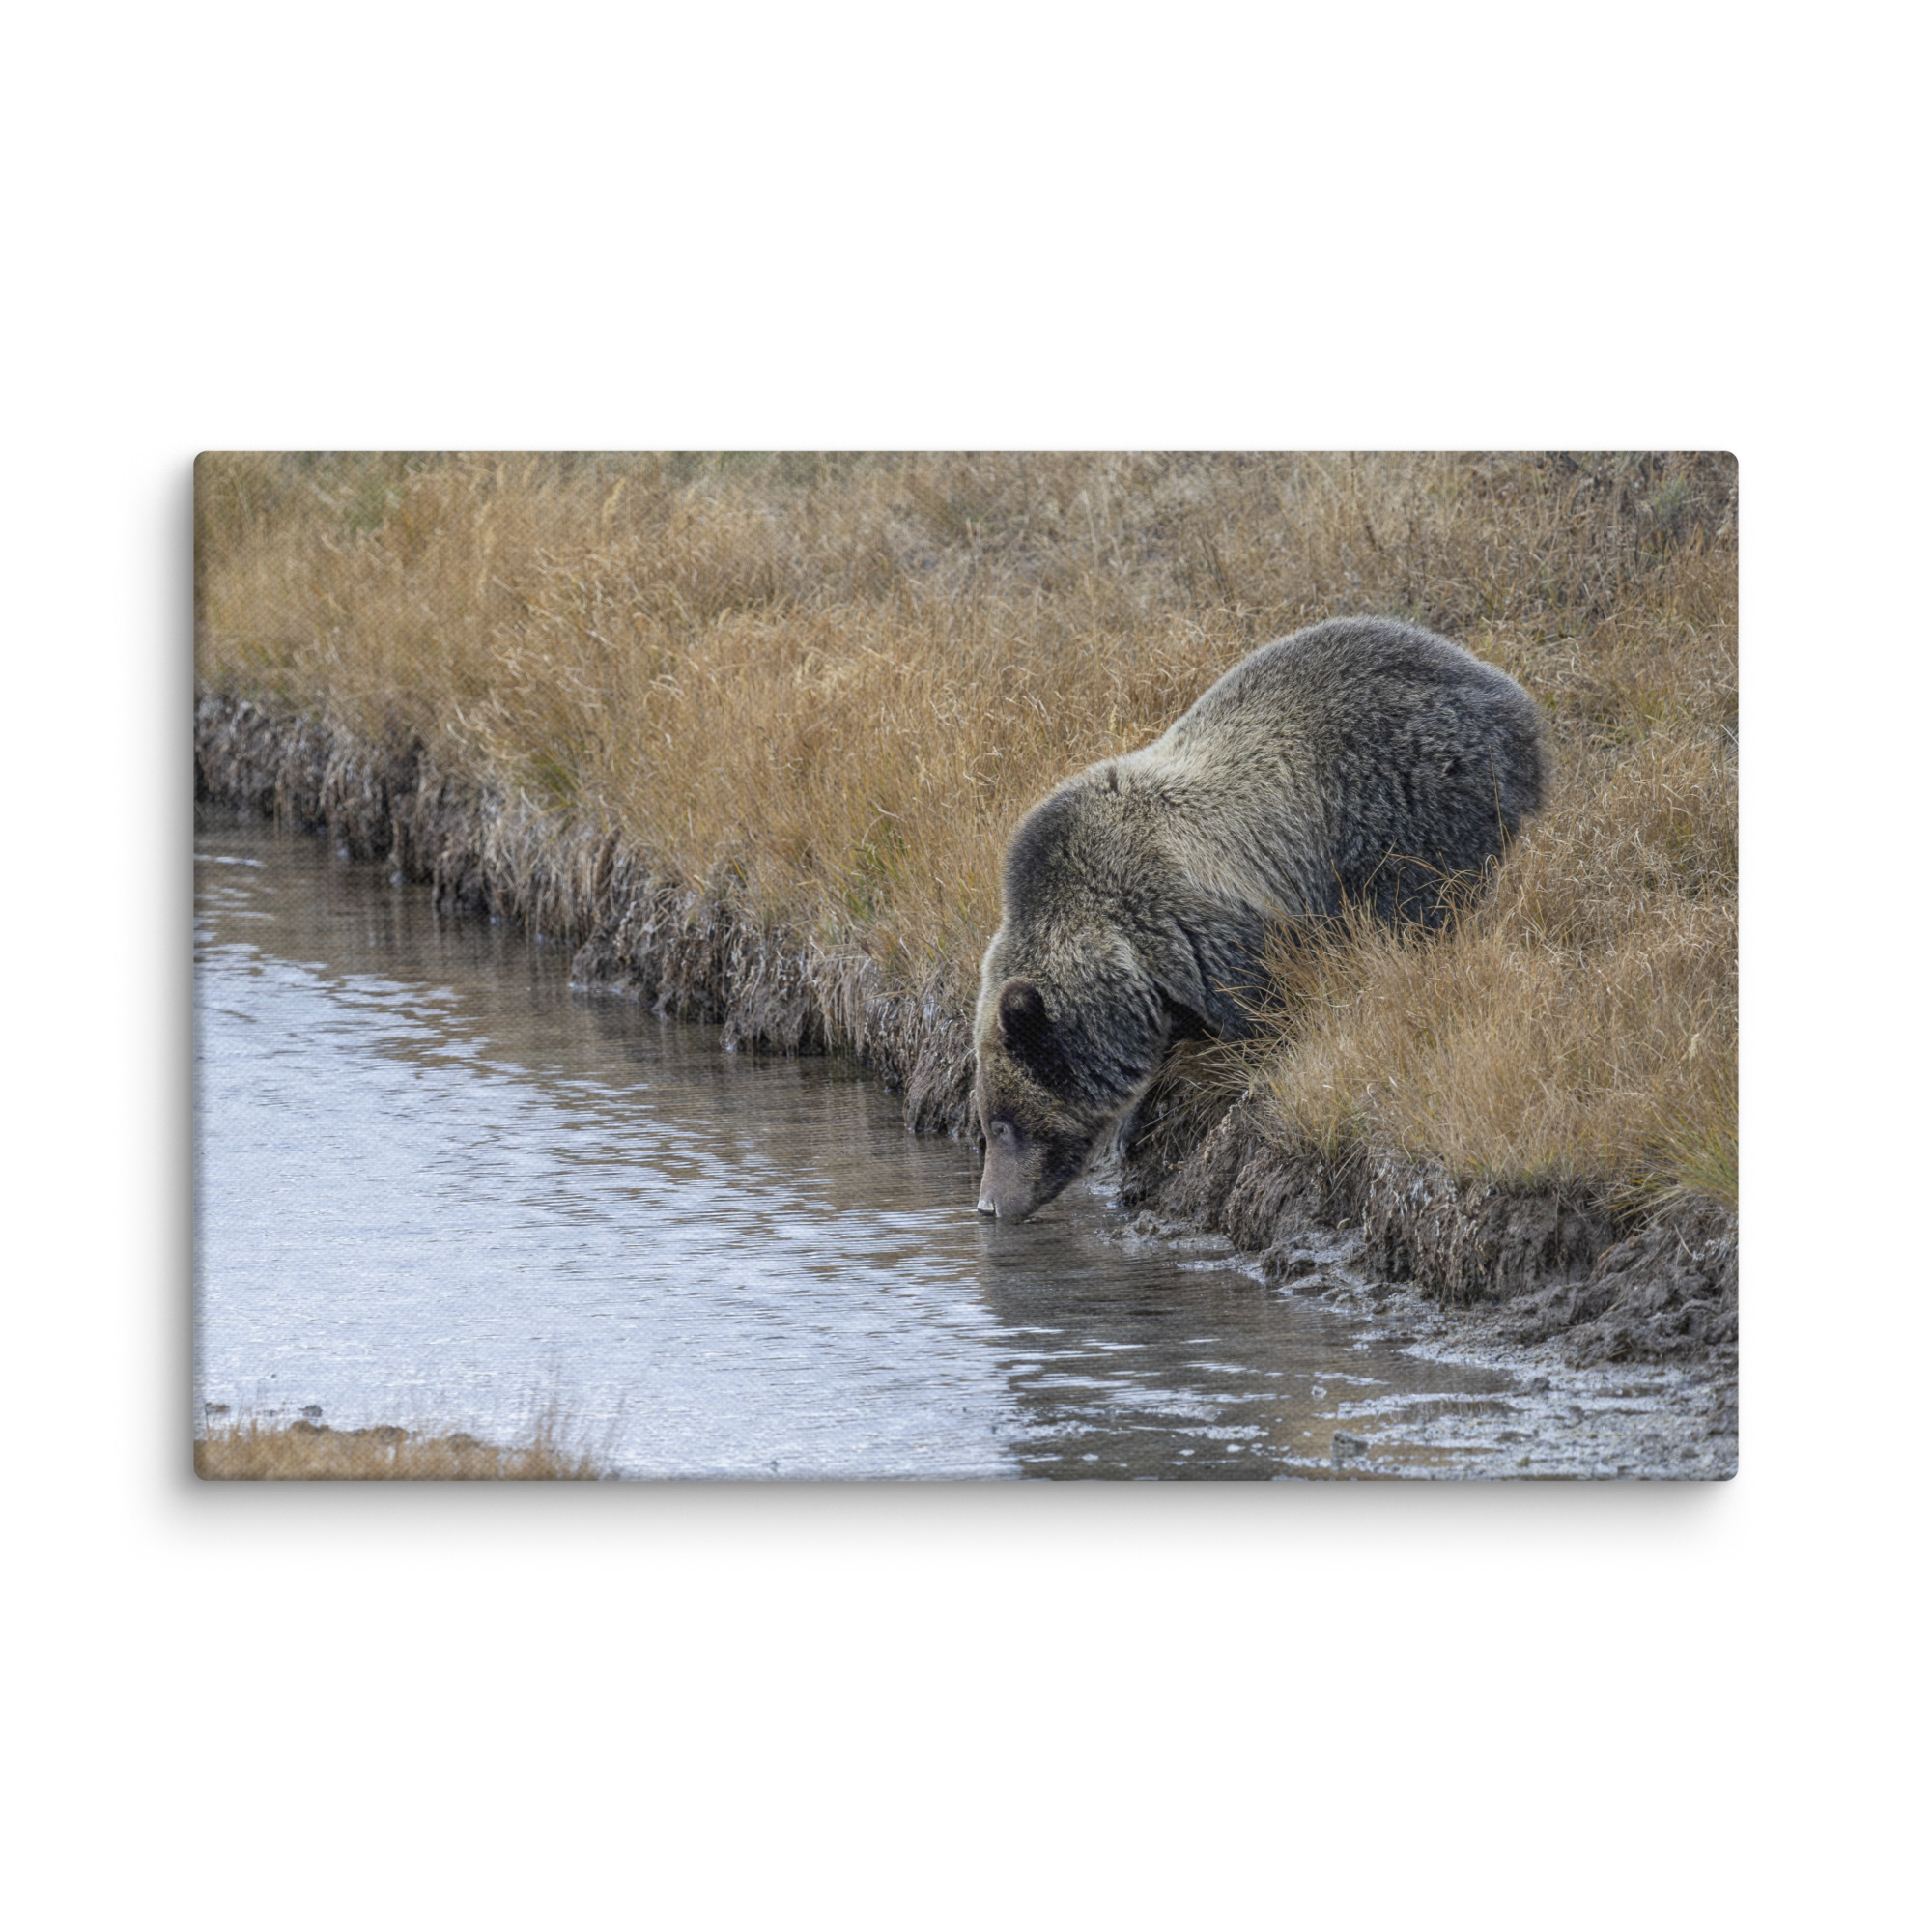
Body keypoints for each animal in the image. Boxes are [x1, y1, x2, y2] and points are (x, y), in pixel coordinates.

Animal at [972, 616, 1547, 1220]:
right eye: (987, 1123)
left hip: (1409, 797)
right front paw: (1136, 1120)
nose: (988, 1204)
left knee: (1417, 904)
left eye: (1003, 1124)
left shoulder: (1198, 928)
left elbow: (1260, 1010)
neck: (1126, 956)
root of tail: (1508, 693)